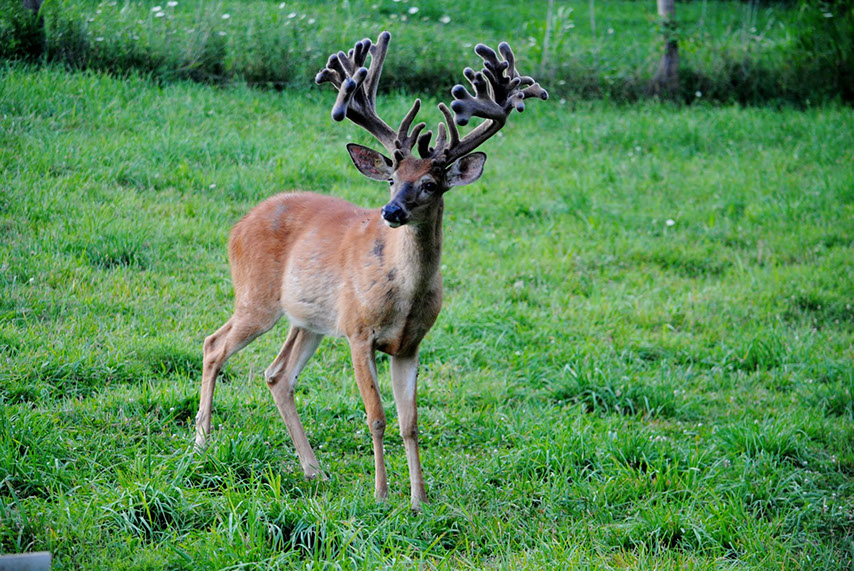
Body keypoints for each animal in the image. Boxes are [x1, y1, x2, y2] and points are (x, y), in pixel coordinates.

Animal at [194, 31, 548, 511]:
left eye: (430, 184)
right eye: (392, 177)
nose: (391, 211)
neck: (404, 296)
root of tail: (238, 224)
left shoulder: (409, 345)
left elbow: (409, 421)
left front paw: (418, 499)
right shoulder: (359, 333)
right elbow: (376, 415)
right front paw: (381, 493)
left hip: (310, 321)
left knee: (278, 375)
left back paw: (314, 469)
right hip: (257, 297)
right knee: (214, 345)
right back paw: (202, 442)